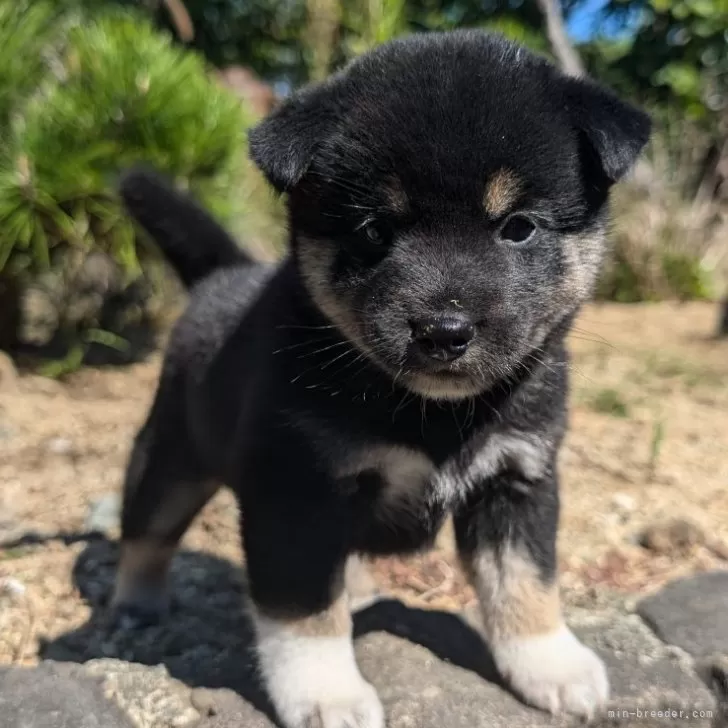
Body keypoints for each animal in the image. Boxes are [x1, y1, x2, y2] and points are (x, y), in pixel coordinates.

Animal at [114, 31, 648, 728]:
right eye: (374, 230)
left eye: (519, 226)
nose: (444, 331)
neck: (432, 413)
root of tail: (221, 277)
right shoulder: (295, 487)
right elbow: (303, 609)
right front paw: (326, 692)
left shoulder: (518, 476)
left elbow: (526, 579)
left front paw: (549, 663)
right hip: (172, 454)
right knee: (146, 529)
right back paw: (136, 602)